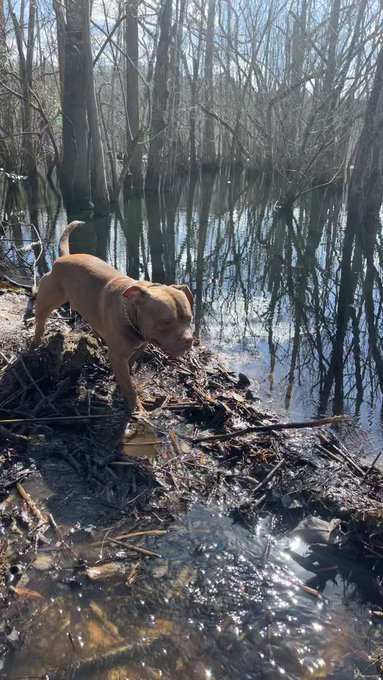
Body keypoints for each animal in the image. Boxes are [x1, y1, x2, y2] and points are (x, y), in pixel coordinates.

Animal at [33, 222, 194, 410]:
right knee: (40, 323)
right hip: (47, 302)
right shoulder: (117, 357)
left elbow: (129, 367)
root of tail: (63, 258)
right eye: (166, 323)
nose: (189, 340)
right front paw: (136, 408)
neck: (131, 313)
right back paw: (35, 343)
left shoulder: (138, 347)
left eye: (189, 319)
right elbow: (129, 388)